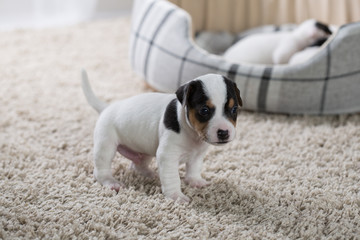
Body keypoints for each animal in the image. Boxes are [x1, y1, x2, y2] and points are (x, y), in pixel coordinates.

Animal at [81, 71, 242, 202]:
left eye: (234, 109)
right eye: (204, 110)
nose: (224, 132)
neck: (191, 133)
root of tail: (106, 108)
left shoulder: (197, 155)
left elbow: (194, 169)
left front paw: (195, 181)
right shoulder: (167, 156)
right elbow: (172, 178)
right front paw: (176, 196)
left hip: (144, 150)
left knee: (137, 165)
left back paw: (147, 173)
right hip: (105, 145)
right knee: (101, 169)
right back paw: (111, 182)